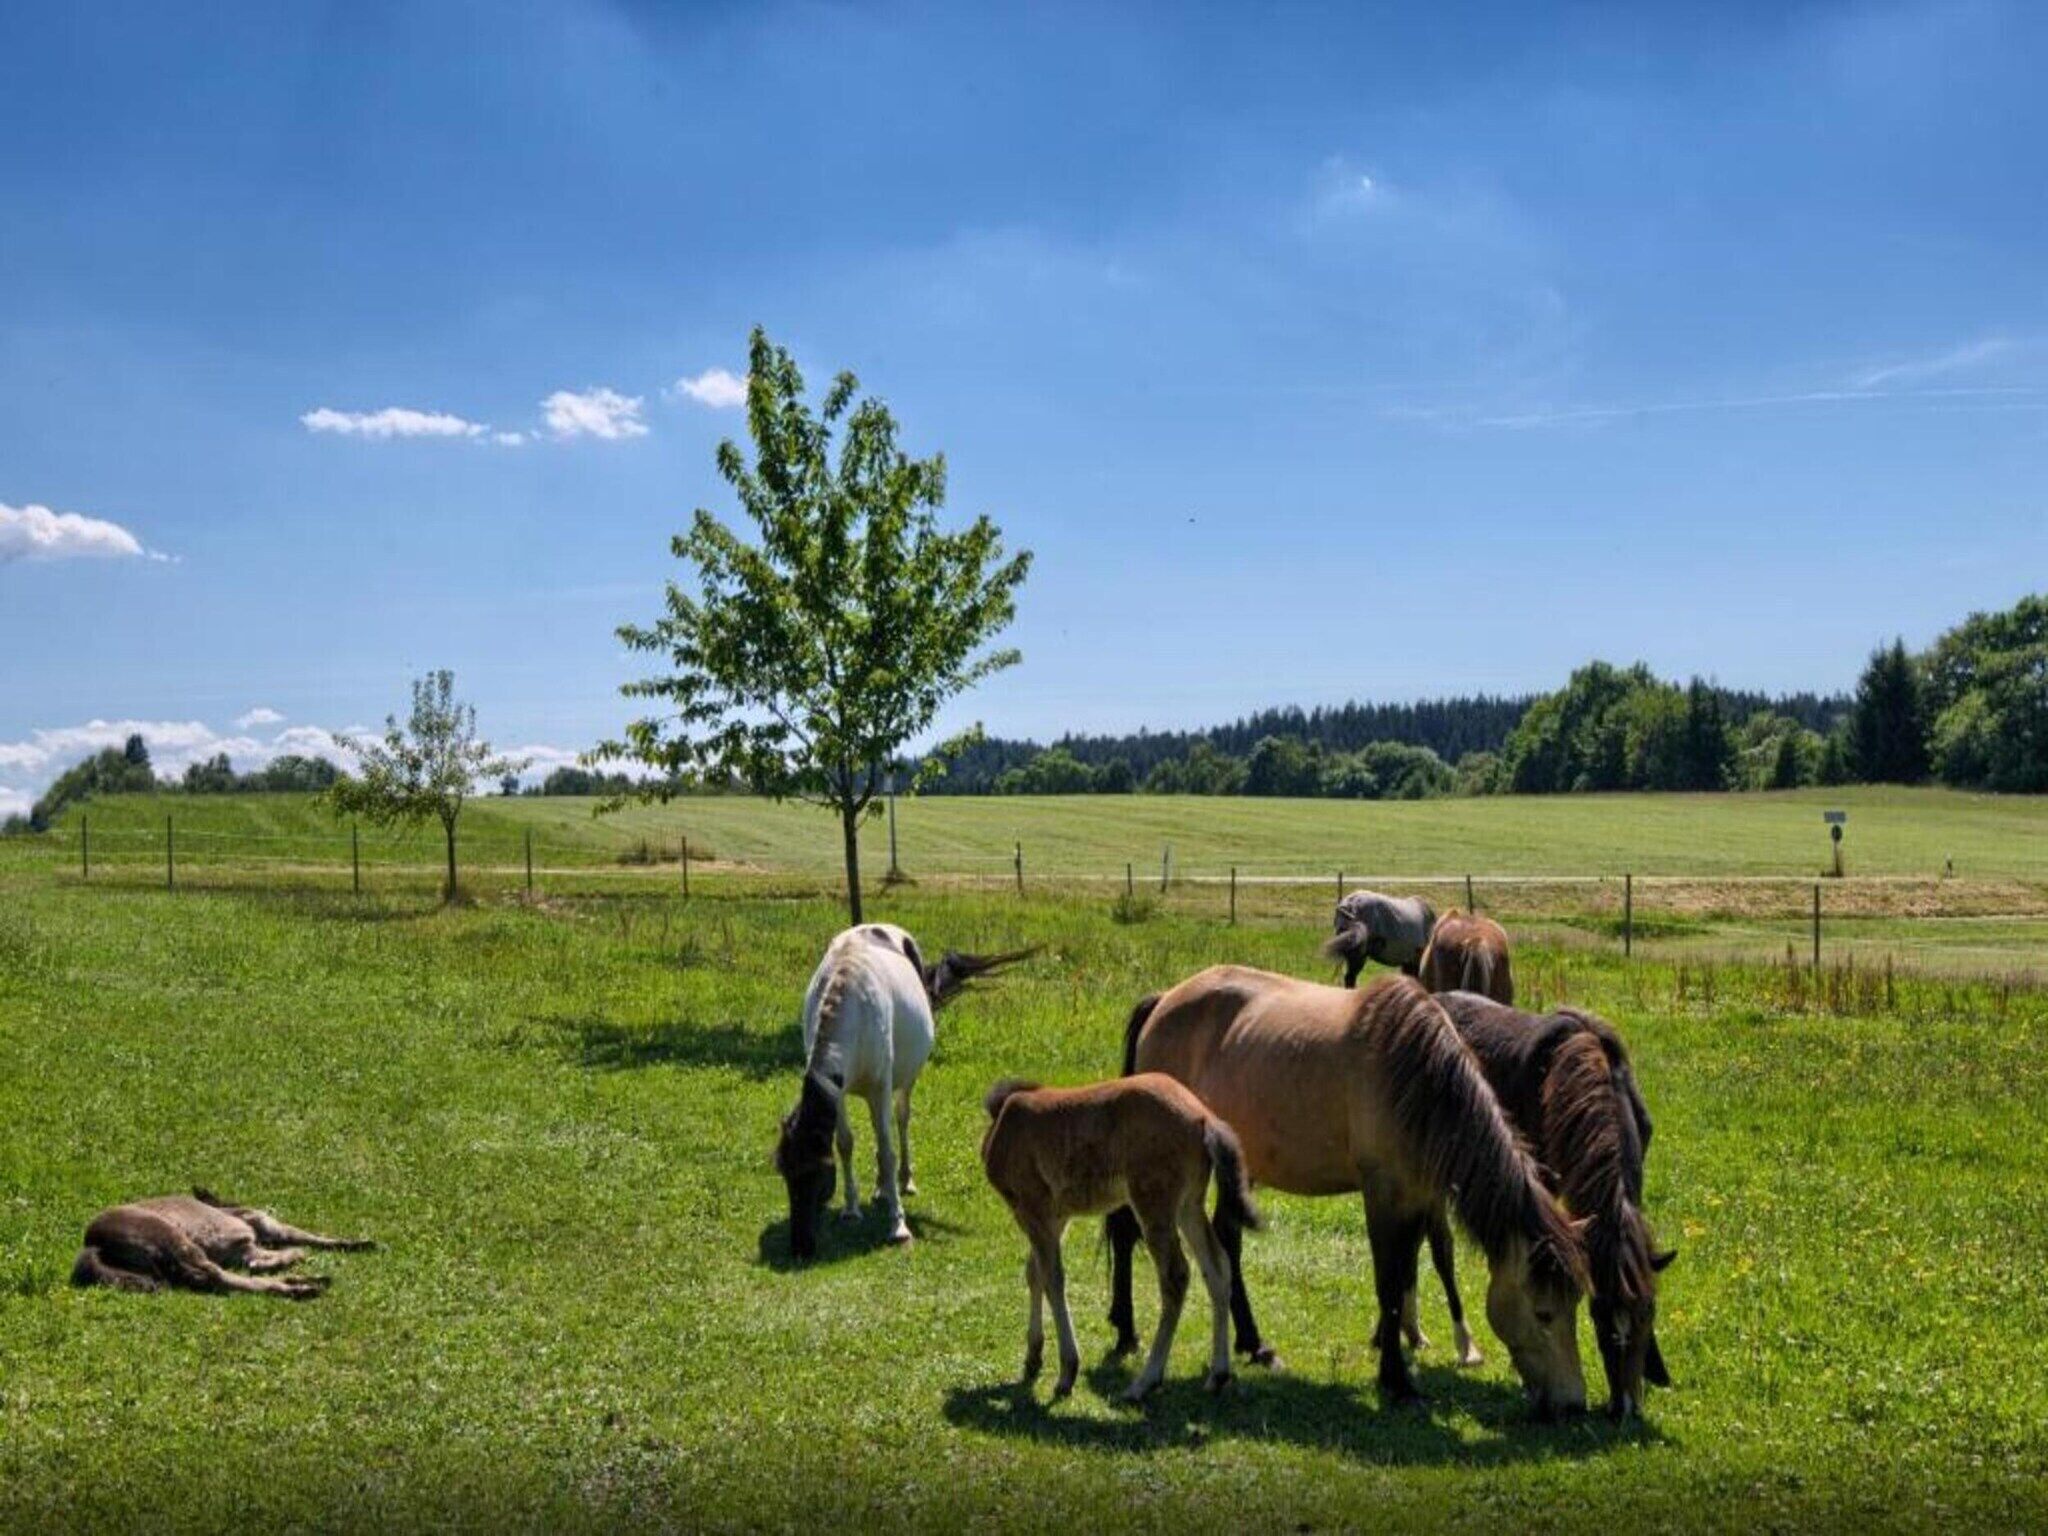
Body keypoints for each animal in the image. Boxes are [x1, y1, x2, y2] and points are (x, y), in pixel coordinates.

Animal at [71, 1189, 373, 1299]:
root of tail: (94, 1244)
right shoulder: (259, 1222)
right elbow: (302, 1235)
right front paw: (361, 1242)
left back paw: (305, 1280)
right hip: (172, 1241)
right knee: (217, 1276)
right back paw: (303, 1286)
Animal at [775, 923, 1032, 1260]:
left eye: (817, 1173)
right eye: (785, 1173)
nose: (800, 1246)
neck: (851, 1010)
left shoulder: (881, 1086)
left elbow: (888, 1149)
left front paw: (898, 1226)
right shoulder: (837, 1092)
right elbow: (845, 1143)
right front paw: (851, 1209)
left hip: (903, 1080)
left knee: (900, 1119)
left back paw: (903, 1181)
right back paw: (881, 1188)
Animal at [982, 1074, 1260, 1401]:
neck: (1005, 1123)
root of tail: (1204, 1119)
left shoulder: (1033, 1207)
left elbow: (1052, 1278)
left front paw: (1066, 1372)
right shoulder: (1056, 1216)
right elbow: (1034, 1272)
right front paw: (1033, 1357)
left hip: (1153, 1202)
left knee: (1176, 1275)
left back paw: (1144, 1381)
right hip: (1189, 1204)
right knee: (1218, 1267)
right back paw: (1217, 1374)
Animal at [1106, 968, 1590, 1414]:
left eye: (1577, 1303)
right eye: (1544, 1312)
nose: (1573, 1403)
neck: (1416, 1077)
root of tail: (1163, 1001)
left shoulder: (1417, 1194)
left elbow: (1412, 1269)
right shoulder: (1381, 1192)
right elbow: (1389, 1284)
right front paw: (1396, 1381)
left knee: (1227, 1242)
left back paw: (1254, 1345)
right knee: (1127, 1232)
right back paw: (1127, 1334)